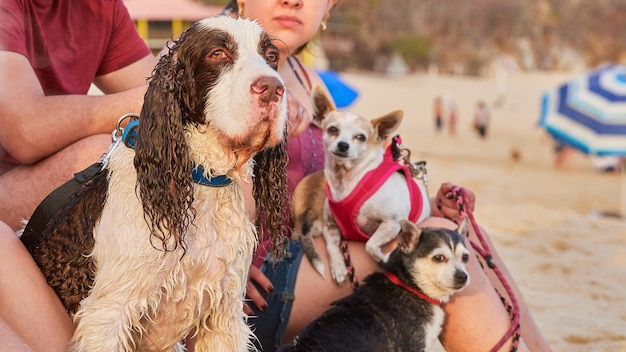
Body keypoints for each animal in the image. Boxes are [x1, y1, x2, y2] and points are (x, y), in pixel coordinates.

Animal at [22, 17, 288, 352]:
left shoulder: (224, 316)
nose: (273, 88)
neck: (198, 182)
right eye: (217, 53)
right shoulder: (106, 317)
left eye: (271, 56)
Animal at [290, 86, 426, 284]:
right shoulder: (330, 227)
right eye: (333, 130)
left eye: (361, 137)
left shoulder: (392, 224)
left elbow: (370, 244)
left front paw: (383, 257)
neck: (348, 181)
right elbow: (331, 248)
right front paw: (338, 267)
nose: (343, 145)